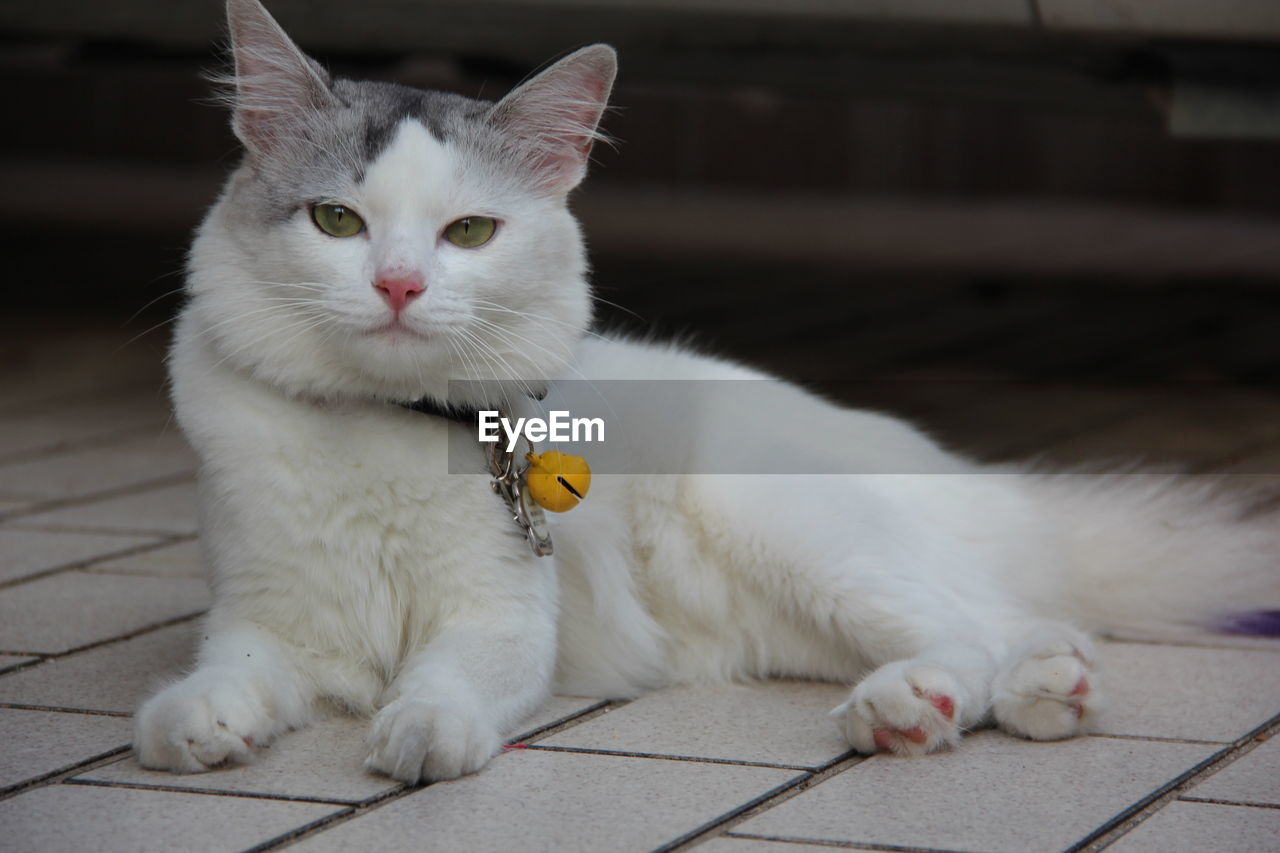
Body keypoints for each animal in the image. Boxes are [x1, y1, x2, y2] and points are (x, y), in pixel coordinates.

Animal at [135, 0, 1274, 783]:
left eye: (469, 232)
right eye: (336, 221)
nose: (400, 285)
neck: (384, 426)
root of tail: (984, 482)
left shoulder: (501, 620)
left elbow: (447, 681)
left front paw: (423, 732)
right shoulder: (264, 617)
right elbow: (230, 673)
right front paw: (191, 723)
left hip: (780, 516)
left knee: (983, 624)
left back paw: (935, 702)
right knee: (1007, 625)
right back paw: (996, 697)